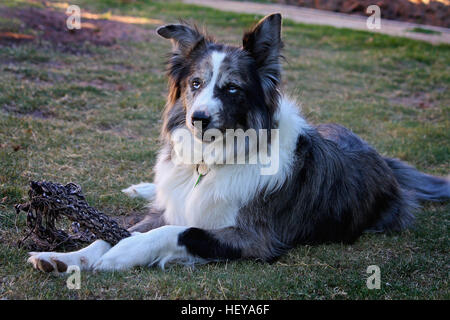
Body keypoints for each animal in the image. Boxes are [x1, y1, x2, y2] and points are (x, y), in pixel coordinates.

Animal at [29, 13, 450, 272]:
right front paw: (66, 257)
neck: (211, 160)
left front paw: (125, 253)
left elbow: (179, 232)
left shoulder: (255, 238)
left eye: (231, 88)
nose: (198, 119)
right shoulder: (167, 209)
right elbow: (111, 231)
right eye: (195, 83)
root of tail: (382, 158)